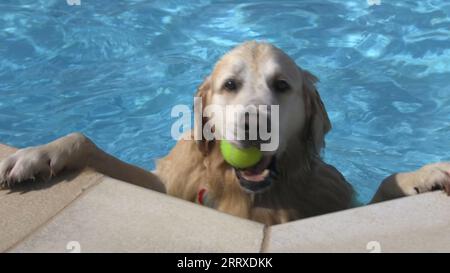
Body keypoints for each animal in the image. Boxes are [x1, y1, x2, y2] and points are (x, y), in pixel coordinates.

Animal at [0, 40, 450, 223]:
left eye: (281, 85)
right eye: (230, 85)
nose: (253, 124)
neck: (251, 193)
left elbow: (387, 183)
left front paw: (424, 174)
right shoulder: (171, 185)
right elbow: (87, 142)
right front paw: (39, 153)